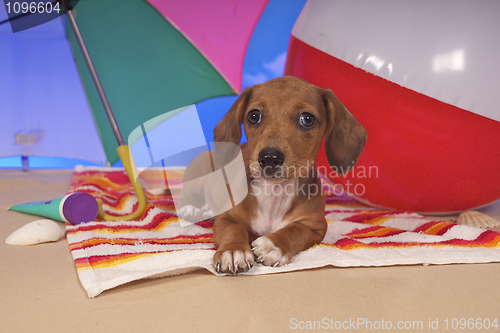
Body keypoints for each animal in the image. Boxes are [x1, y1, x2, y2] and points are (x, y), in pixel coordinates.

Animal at [178, 76, 366, 274]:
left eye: (307, 119)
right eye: (253, 116)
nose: (269, 158)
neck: (275, 192)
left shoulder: (315, 227)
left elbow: (295, 230)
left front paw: (273, 244)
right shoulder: (227, 219)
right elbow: (234, 230)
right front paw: (233, 250)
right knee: (187, 195)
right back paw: (191, 209)